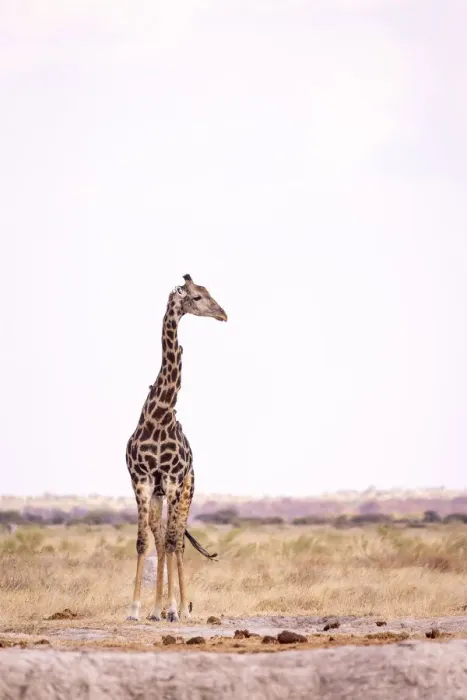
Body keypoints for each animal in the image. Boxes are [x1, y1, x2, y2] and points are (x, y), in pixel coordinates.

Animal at [126, 274, 227, 622]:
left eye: (208, 293)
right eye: (197, 297)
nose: (223, 314)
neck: (158, 416)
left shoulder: (171, 480)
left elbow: (172, 542)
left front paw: (173, 608)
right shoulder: (142, 481)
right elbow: (144, 541)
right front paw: (136, 610)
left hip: (186, 490)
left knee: (177, 542)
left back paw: (182, 609)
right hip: (159, 494)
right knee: (161, 539)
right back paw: (157, 609)